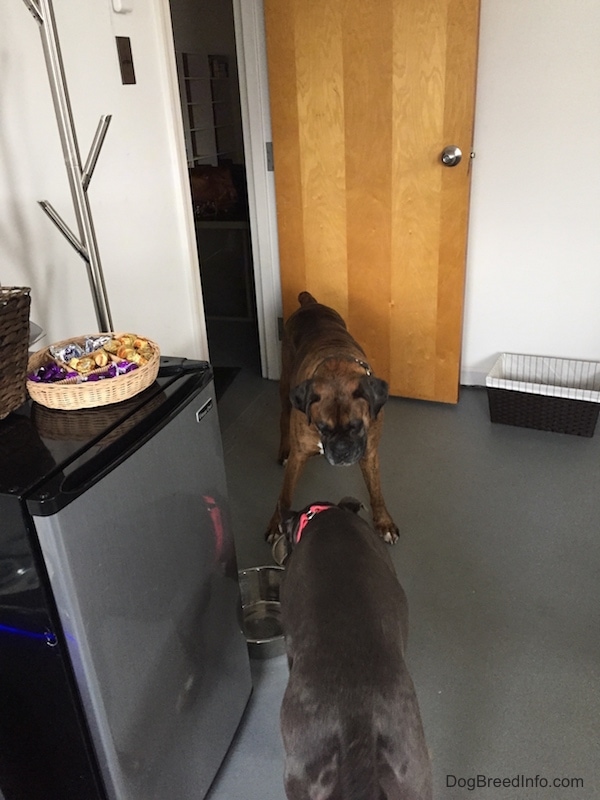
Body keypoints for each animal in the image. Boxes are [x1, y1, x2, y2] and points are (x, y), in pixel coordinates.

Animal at [266, 290, 398, 548]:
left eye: (357, 426)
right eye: (322, 428)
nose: (341, 450)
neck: (337, 372)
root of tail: (310, 303)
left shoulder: (369, 453)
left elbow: (376, 490)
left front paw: (383, 522)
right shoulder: (299, 455)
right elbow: (284, 495)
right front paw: (277, 523)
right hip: (285, 385)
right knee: (283, 418)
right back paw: (283, 449)